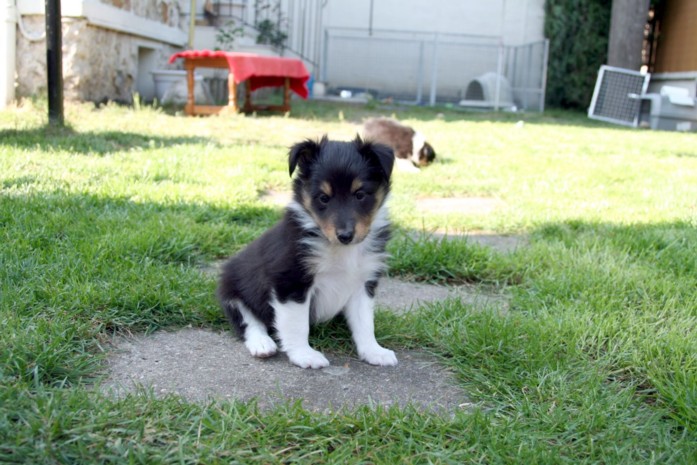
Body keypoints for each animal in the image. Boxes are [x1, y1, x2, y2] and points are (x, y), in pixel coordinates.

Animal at [220, 136, 400, 368]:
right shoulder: (291, 281)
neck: (341, 250)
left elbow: (365, 322)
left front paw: (374, 351)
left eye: (360, 194)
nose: (345, 235)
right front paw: (305, 355)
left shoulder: (364, 282)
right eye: (323, 198)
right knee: (249, 322)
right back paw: (263, 345)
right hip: (232, 290)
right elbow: (297, 325)